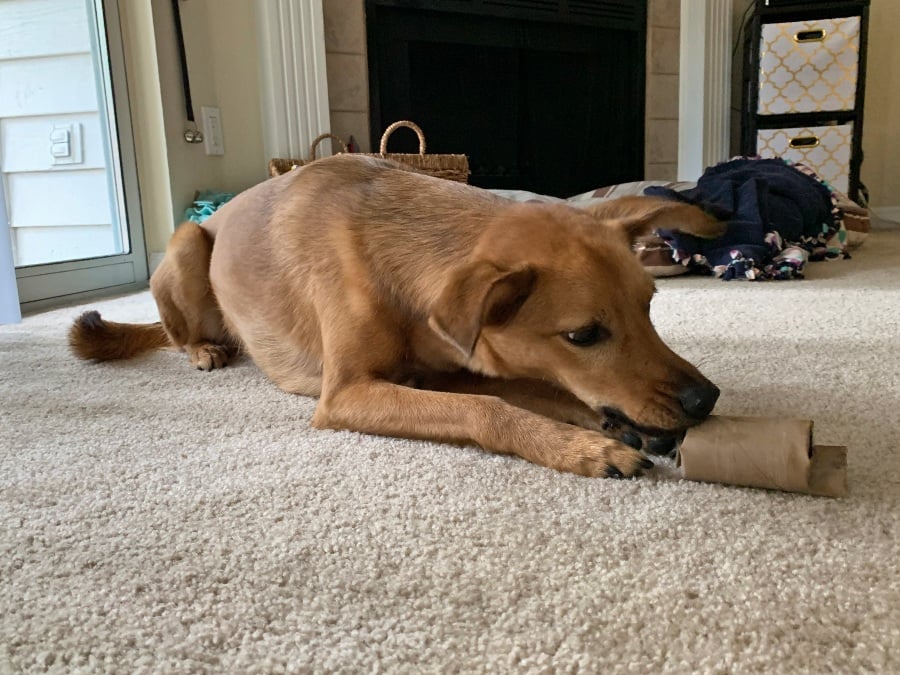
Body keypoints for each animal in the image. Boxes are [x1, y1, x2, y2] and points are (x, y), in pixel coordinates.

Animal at [70, 156, 720, 478]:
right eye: (582, 335)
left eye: (649, 306)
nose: (705, 399)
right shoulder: (347, 393)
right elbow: (490, 408)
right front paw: (583, 448)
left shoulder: (442, 369)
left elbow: (534, 390)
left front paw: (603, 425)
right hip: (186, 244)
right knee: (176, 332)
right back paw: (207, 349)